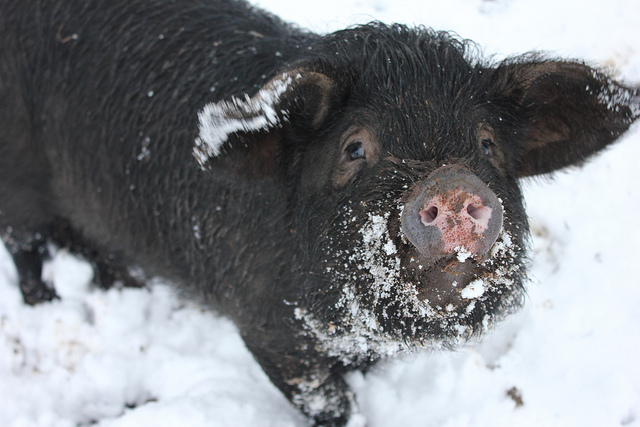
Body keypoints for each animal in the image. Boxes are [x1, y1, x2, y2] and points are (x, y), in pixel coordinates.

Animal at [0, 0, 636, 424]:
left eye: (486, 144)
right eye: (354, 148)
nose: (453, 184)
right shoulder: (270, 331)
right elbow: (329, 401)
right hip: (19, 184)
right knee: (25, 245)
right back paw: (48, 300)